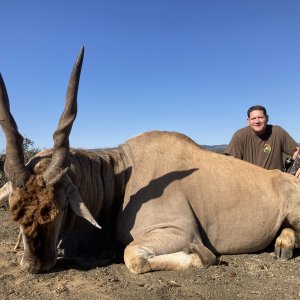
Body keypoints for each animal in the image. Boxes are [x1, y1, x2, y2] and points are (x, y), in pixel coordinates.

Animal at [0, 47, 300, 274]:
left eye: (60, 208)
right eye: (15, 212)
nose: (33, 265)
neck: (121, 177)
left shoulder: (179, 232)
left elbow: (133, 256)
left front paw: (202, 257)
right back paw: (282, 244)